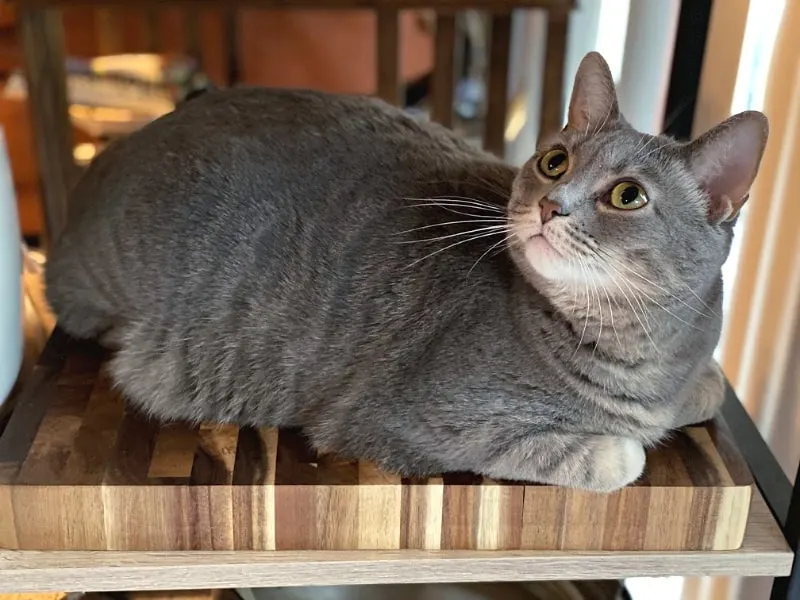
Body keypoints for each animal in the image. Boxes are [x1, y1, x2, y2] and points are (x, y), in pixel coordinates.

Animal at [45, 52, 768, 492]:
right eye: (556, 161)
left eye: (627, 195)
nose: (549, 203)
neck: (640, 358)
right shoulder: (417, 421)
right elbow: (610, 454)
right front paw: (627, 441)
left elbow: (701, 391)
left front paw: (693, 392)